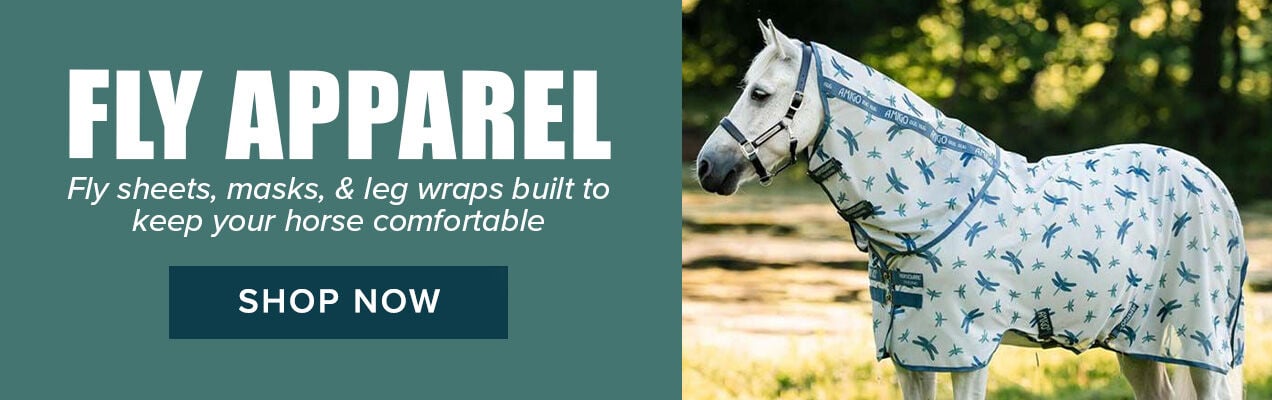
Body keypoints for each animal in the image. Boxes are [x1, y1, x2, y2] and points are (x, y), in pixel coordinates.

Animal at [694, 20, 1247, 400]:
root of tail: (1212, 182)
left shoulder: (966, 351)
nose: (706, 167)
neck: (931, 211)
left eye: (760, 94)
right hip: (1138, 343)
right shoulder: (912, 355)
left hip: (1202, 343)